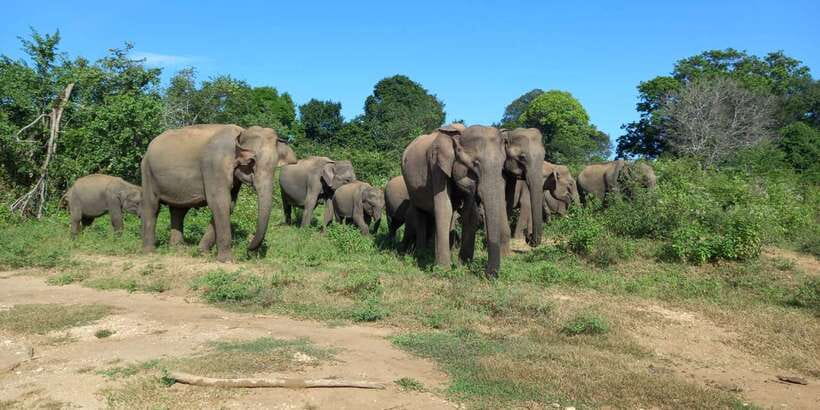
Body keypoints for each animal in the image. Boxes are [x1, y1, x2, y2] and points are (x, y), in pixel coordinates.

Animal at [141, 124, 288, 262]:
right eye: (252, 162)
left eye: (275, 166)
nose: (248, 248)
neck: (241, 132)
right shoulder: (214, 165)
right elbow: (219, 203)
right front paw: (227, 260)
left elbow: (229, 205)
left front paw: (202, 252)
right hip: (147, 171)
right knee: (152, 207)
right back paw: (149, 252)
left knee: (178, 211)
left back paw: (178, 249)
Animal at [402, 124, 507, 277]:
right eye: (475, 164)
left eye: (502, 166)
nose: (489, 274)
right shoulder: (436, 166)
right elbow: (444, 207)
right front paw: (443, 270)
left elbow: (471, 214)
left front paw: (463, 264)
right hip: (410, 185)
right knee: (420, 213)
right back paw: (421, 254)